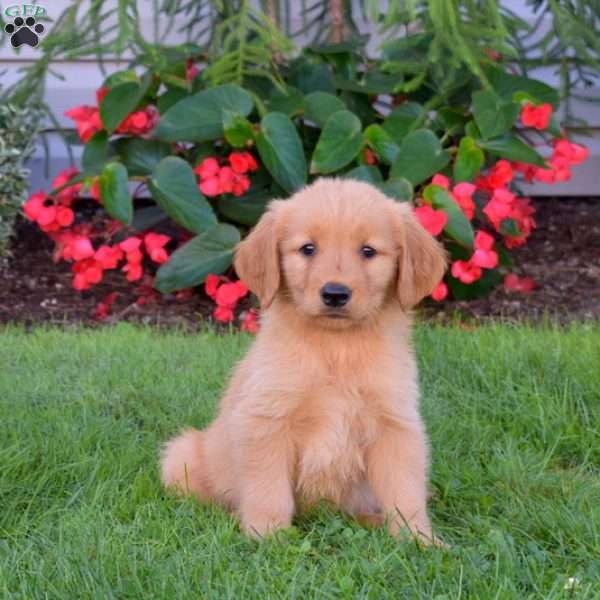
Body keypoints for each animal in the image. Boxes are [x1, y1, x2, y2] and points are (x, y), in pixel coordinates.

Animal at [162, 176, 448, 540]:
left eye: (368, 251)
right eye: (308, 249)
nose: (335, 294)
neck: (335, 347)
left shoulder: (395, 424)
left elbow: (405, 491)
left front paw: (419, 539)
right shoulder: (266, 420)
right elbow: (268, 489)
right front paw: (268, 534)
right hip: (180, 455)